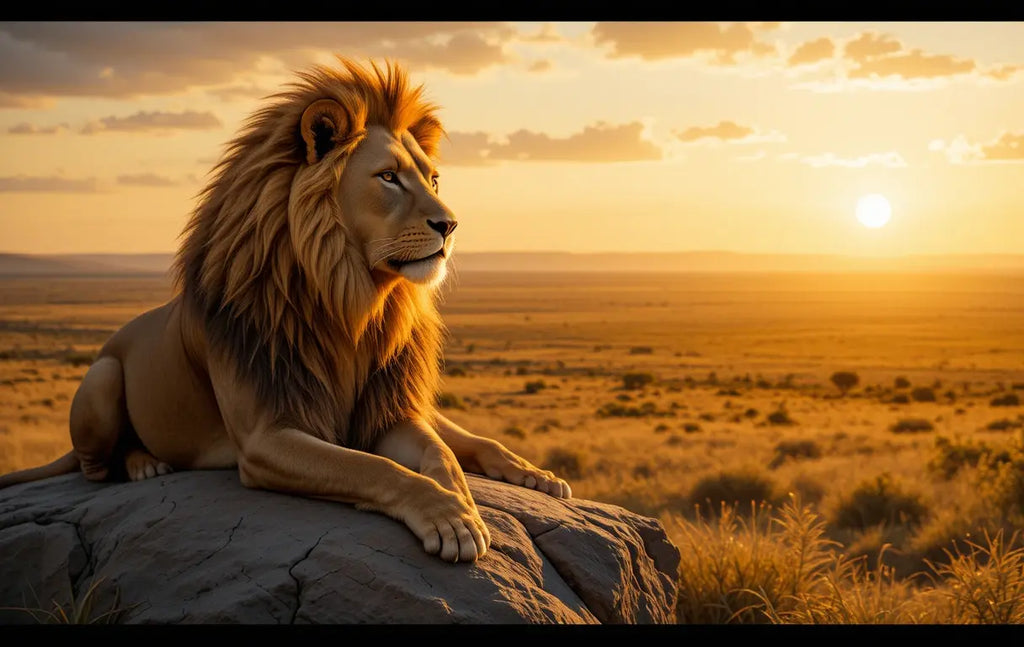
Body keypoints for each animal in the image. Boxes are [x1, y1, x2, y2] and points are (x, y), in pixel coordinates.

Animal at [0, 57, 571, 563]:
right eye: (388, 177)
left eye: (432, 181)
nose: (450, 226)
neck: (350, 300)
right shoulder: (264, 438)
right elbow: (373, 470)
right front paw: (450, 517)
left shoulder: (387, 412)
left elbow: (442, 456)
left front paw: (465, 505)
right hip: (101, 378)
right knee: (95, 468)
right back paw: (145, 464)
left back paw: (535, 475)